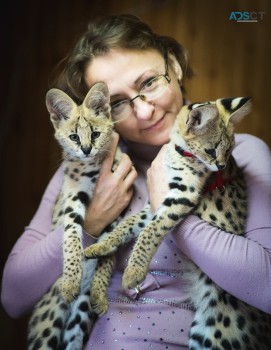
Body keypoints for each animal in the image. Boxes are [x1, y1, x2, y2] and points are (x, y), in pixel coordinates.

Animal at [27, 82, 121, 350]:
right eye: (74, 137)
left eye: (96, 134)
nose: (87, 149)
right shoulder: (73, 199)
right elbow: (71, 238)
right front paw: (70, 282)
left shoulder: (117, 213)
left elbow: (108, 252)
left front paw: (99, 293)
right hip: (48, 322)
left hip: (79, 315)